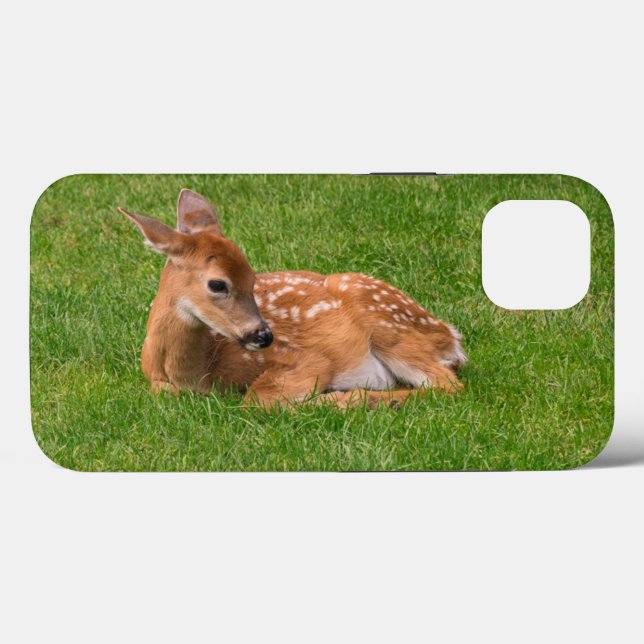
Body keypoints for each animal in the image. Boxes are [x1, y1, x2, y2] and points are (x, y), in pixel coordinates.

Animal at [118, 189, 466, 409]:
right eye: (217, 284)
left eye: (253, 278)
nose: (264, 336)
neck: (198, 371)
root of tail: (450, 336)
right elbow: (164, 392)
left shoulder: (307, 359)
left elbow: (257, 398)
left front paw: (333, 398)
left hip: (387, 325)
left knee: (448, 385)